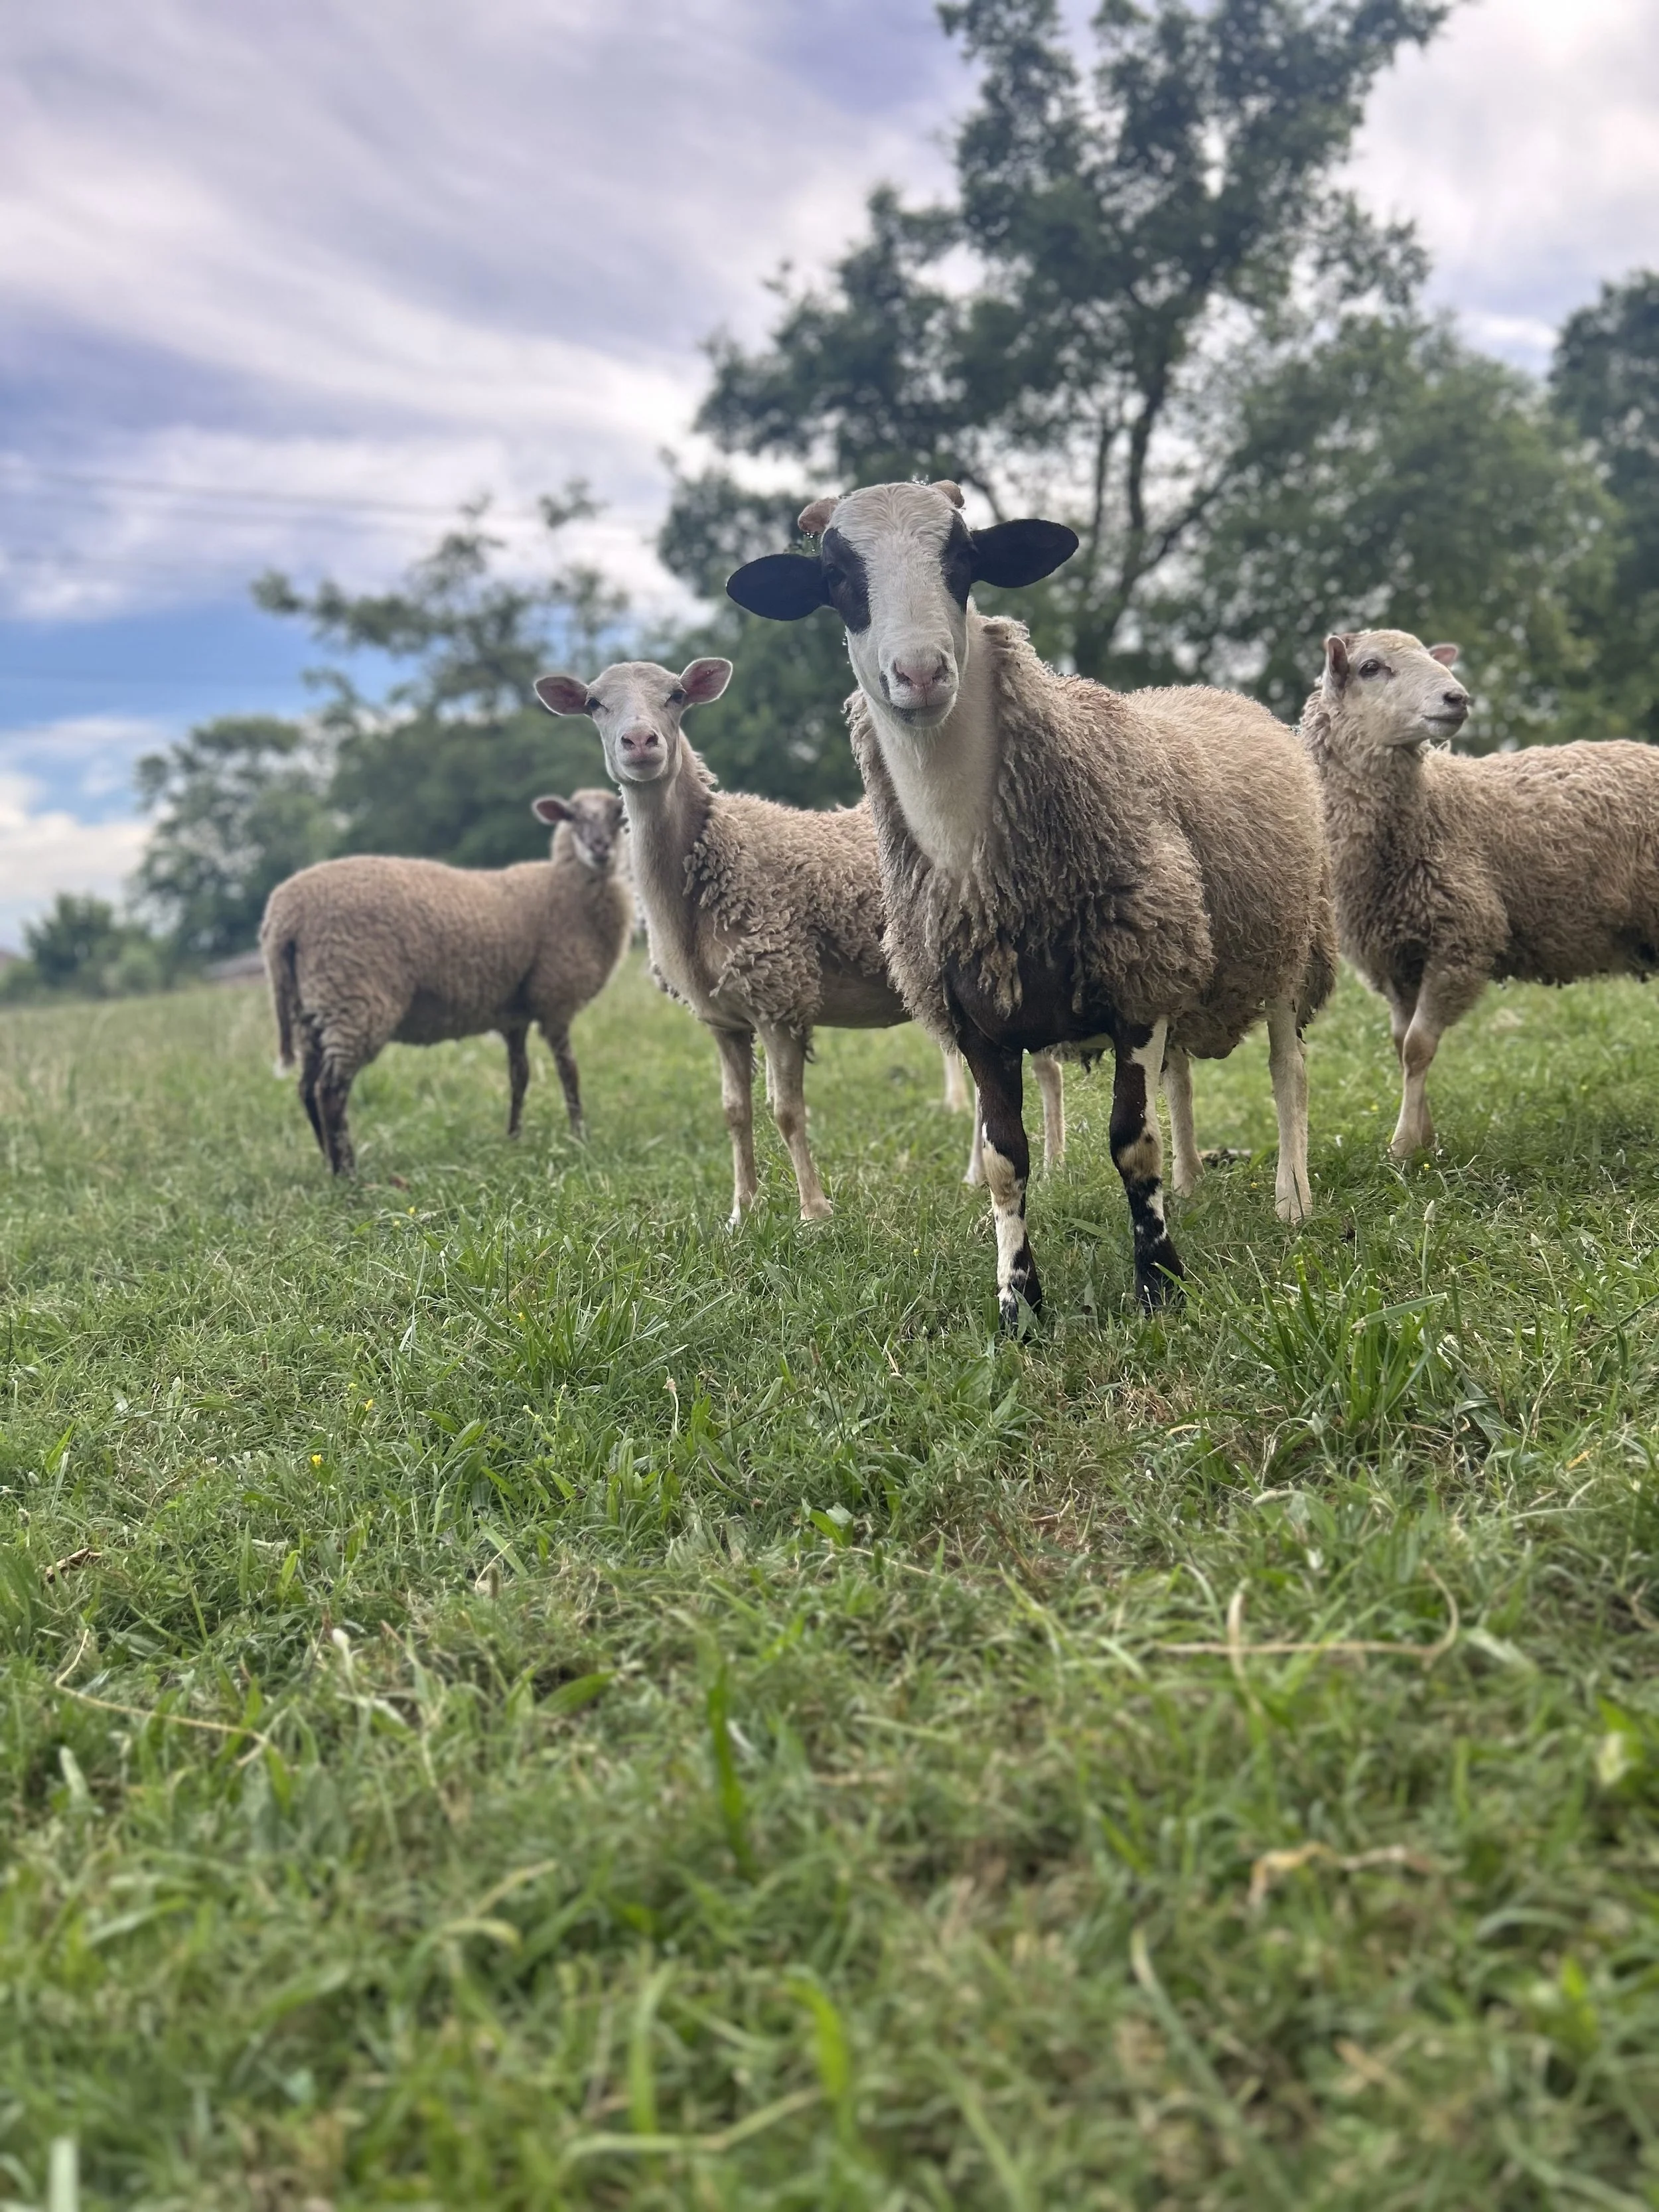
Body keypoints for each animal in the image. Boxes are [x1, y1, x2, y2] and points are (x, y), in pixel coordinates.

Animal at [260, 788, 631, 1173]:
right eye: (572, 817)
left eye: (618, 815)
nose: (601, 848)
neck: (565, 889)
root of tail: (285, 916)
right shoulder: (556, 1001)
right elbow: (569, 1071)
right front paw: (579, 1136)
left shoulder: (515, 1016)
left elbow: (520, 1075)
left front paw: (514, 1138)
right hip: (355, 999)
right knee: (331, 1091)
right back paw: (348, 1173)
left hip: (313, 1010)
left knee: (307, 1089)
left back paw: (329, 1163)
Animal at [532, 657, 1063, 1224]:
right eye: (595, 703)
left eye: (676, 696)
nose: (639, 741)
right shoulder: (723, 1019)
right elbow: (735, 1111)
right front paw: (742, 1211)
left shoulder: (779, 996)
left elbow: (786, 1111)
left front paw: (814, 1211)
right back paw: (978, 1174)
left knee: (1047, 1065)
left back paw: (1054, 1166)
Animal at [727, 479, 1336, 1327]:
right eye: (837, 577)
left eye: (963, 559)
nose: (920, 674)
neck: (980, 869)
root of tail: (1213, 692)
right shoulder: (976, 1018)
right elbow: (1002, 1161)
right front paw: (1018, 1302)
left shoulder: (1134, 982)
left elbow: (1130, 1141)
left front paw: (1159, 1283)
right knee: (1183, 1080)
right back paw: (1191, 1187)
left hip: (1289, 939)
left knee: (1288, 1071)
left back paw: (1292, 1198)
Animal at [1300, 626, 1659, 1160]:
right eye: (1371, 668)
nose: (1458, 698)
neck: (1427, 812)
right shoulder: (1396, 956)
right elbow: (1401, 1043)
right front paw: (1424, 1142)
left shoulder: (1461, 939)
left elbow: (1417, 1047)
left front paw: (1402, 1146)